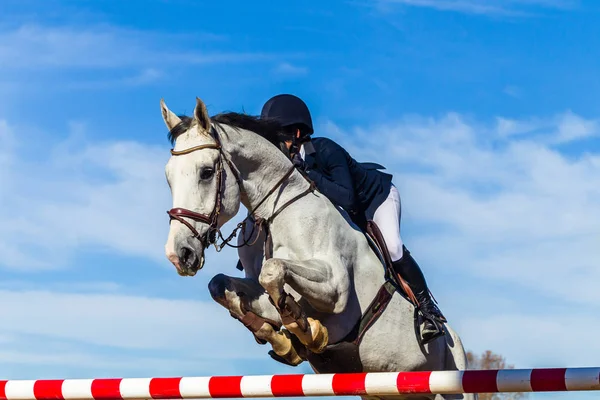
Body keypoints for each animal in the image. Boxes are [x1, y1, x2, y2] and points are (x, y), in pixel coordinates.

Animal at [161, 97, 478, 400]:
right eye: (168, 177)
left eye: (206, 172)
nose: (180, 254)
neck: (277, 210)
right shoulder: (259, 286)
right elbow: (223, 285)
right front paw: (280, 338)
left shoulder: (336, 290)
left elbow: (273, 271)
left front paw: (306, 330)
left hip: (451, 383)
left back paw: (430, 321)